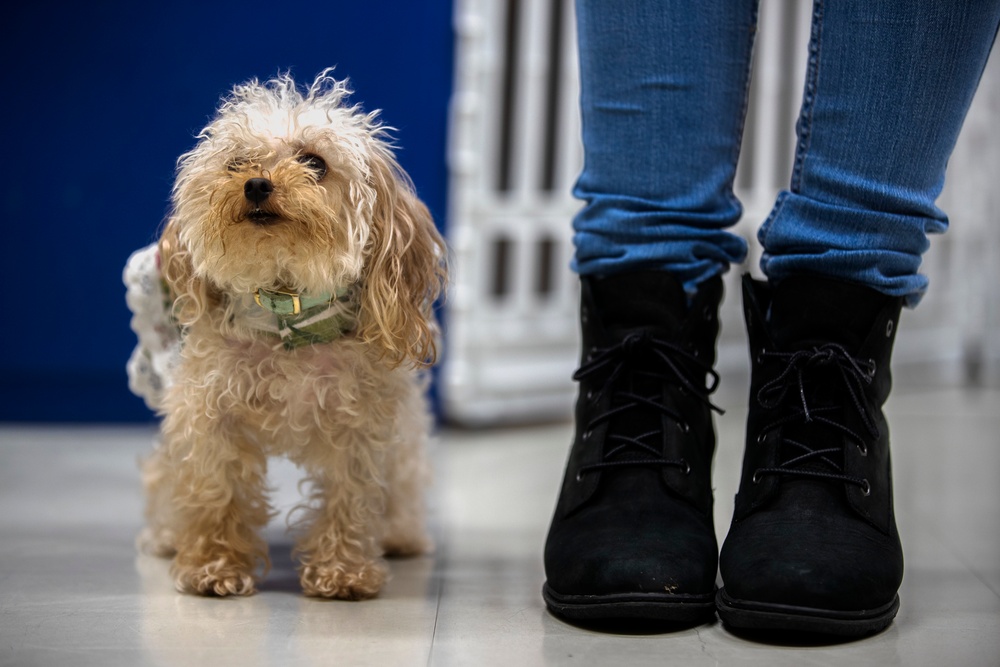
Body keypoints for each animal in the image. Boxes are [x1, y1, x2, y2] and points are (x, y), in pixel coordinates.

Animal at [128, 73, 446, 600]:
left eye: (315, 162)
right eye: (236, 163)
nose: (256, 183)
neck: (288, 317)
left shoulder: (361, 424)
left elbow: (351, 496)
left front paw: (342, 571)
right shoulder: (209, 413)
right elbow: (215, 492)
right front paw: (214, 566)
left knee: (406, 471)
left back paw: (401, 533)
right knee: (161, 471)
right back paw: (168, 534)